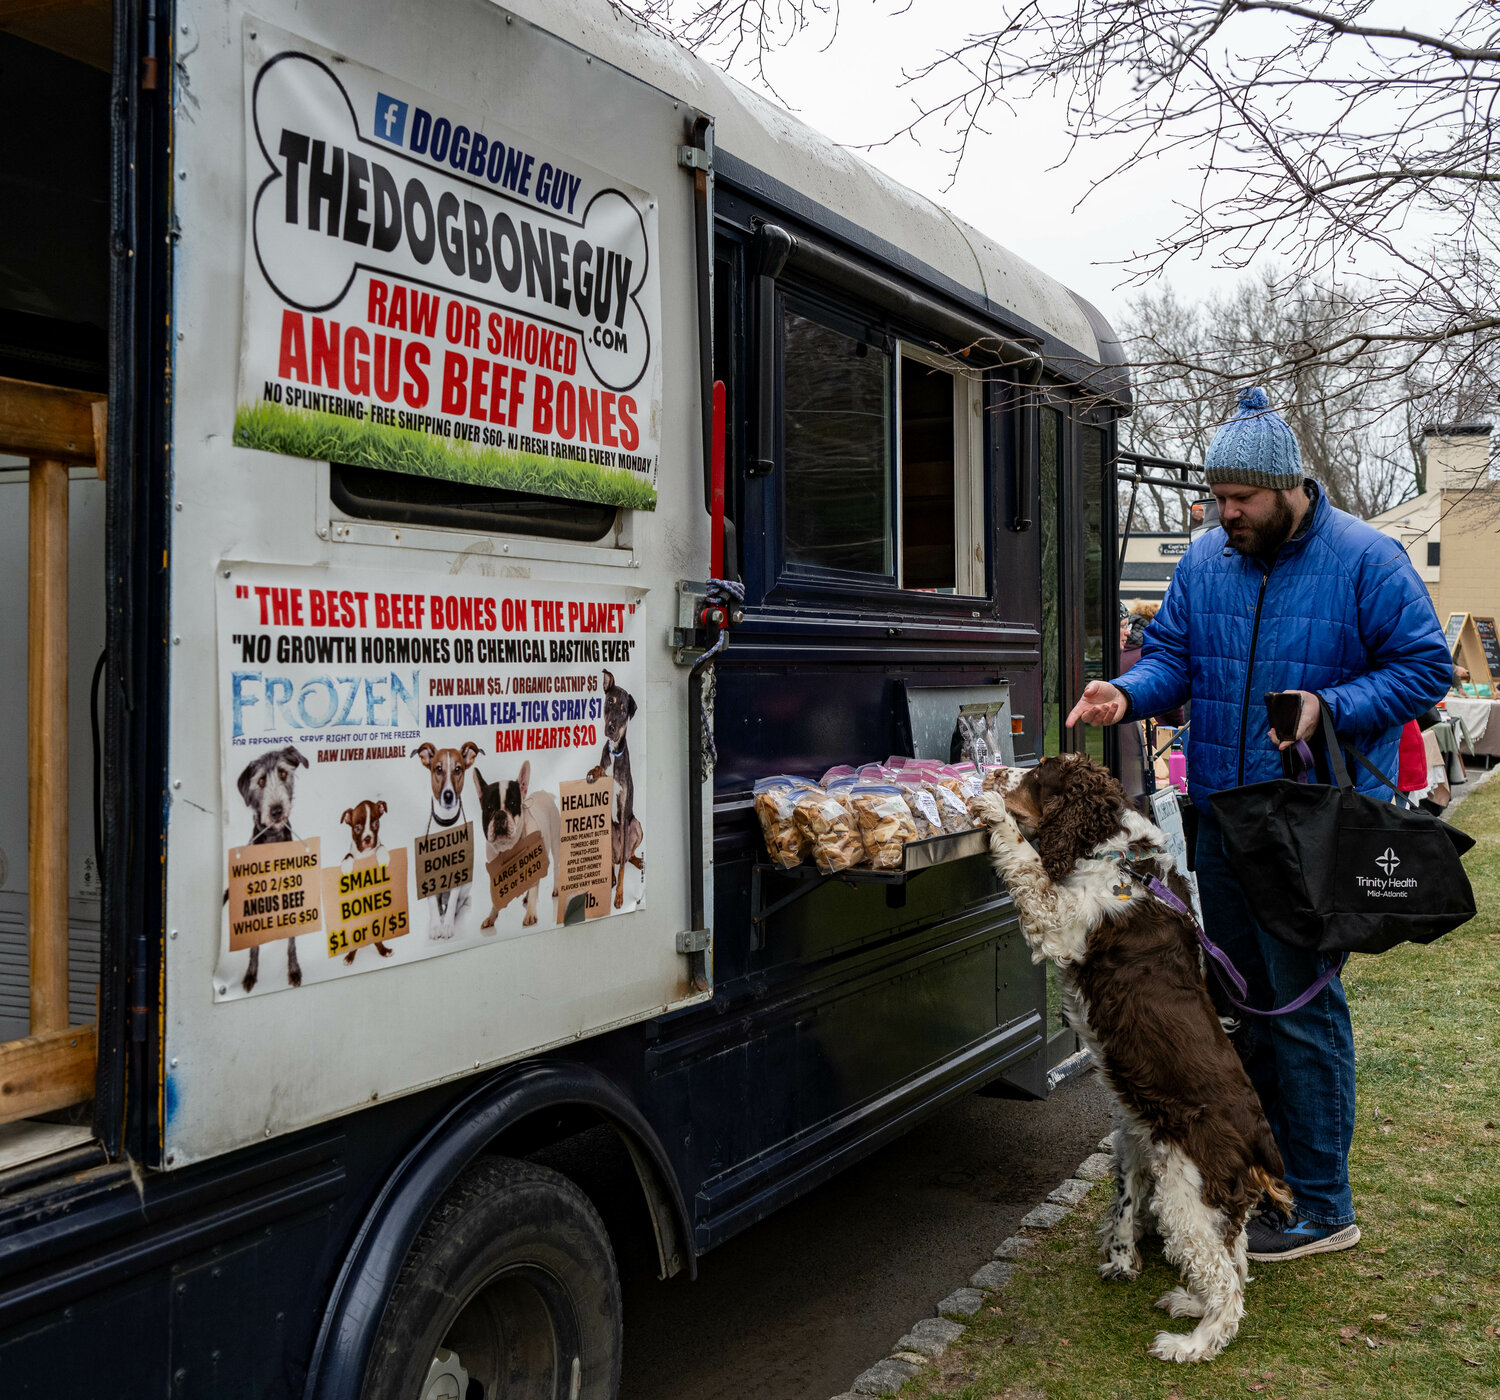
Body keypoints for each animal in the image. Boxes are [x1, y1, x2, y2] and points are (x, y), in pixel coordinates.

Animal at [972, 759, 1290, 1362]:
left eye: (1037, 776)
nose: (995, 772)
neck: (1115, 858)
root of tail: (1259, 1138)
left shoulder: (1059, 919)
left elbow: (1026, 864)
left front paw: (991, 809)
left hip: (1186, 1194)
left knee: (1225, 1281)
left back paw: (1192, 1342)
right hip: (1213, 1197)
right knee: (1233, 1260)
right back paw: (1190, 1304)